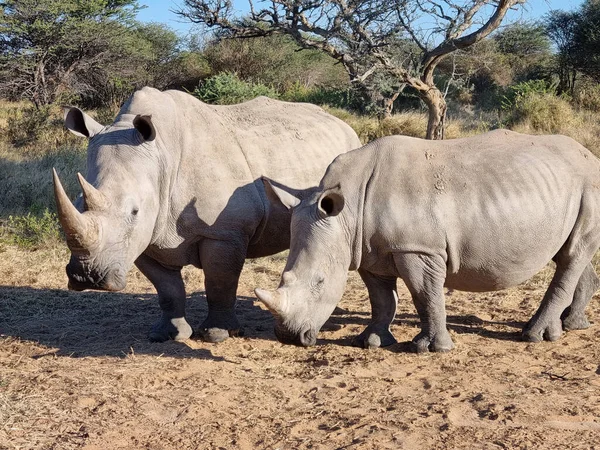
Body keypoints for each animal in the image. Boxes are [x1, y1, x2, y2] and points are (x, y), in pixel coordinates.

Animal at [51, 87, 358, 342]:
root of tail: (342, 123)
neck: (161, 155)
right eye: (78, 201)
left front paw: (217, 335)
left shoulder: (223, 232)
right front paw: (166, 335)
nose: (87, 277)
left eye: (134, 211)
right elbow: (168, 289)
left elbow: (219, 282)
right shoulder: (145, 236)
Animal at [255, 130, 600, 352]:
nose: (288, 337)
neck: (349, 210)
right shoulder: (367, 250)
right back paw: (571, 325)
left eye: (320, 282)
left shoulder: (418, 248)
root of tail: (591, 156)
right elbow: (381, 299)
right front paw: (370, 342)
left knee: (572, 255)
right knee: (569, 253)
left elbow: (425, 295)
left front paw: (431, 349)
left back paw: (534, 336)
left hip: (589, 185)